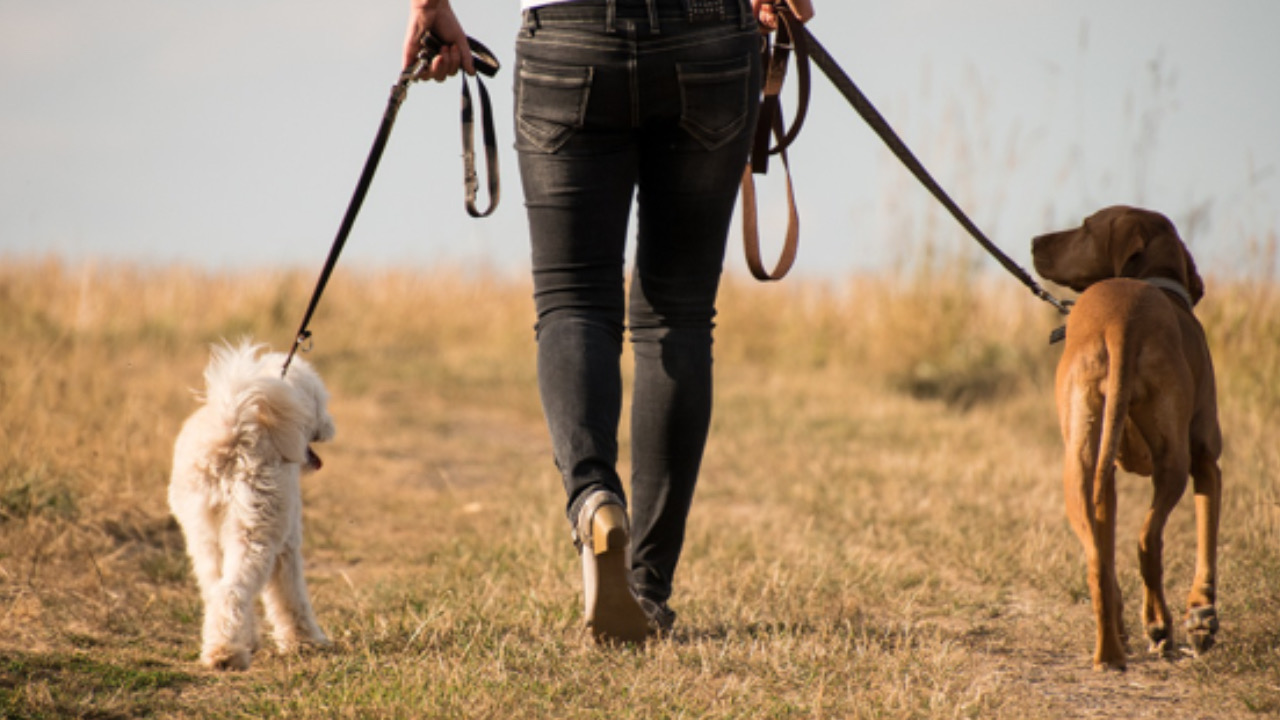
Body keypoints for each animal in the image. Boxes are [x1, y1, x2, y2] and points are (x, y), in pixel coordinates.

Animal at [172, 338, 337, 671]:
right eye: (319, 402)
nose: (330, 425)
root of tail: (234, 426)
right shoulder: (287, 545)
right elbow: (291, 597)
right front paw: (305, 640)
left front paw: (250, 638)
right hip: (255, 533)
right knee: (232, 590)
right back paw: (227, 655)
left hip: (202, 535)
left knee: (215, 589)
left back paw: (222, 645)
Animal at [1029, 206, 1218, 666]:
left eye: (1084, 227)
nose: (1033, 241)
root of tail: (1123, 321)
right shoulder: (1207, 458)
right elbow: (1206, 540)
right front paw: (1202, 616)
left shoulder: (1107, 473)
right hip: (1173, 463)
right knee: (1147, 540)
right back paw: (1159, 627)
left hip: (1079, 466)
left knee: (1099, 558)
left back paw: (1111, 651)